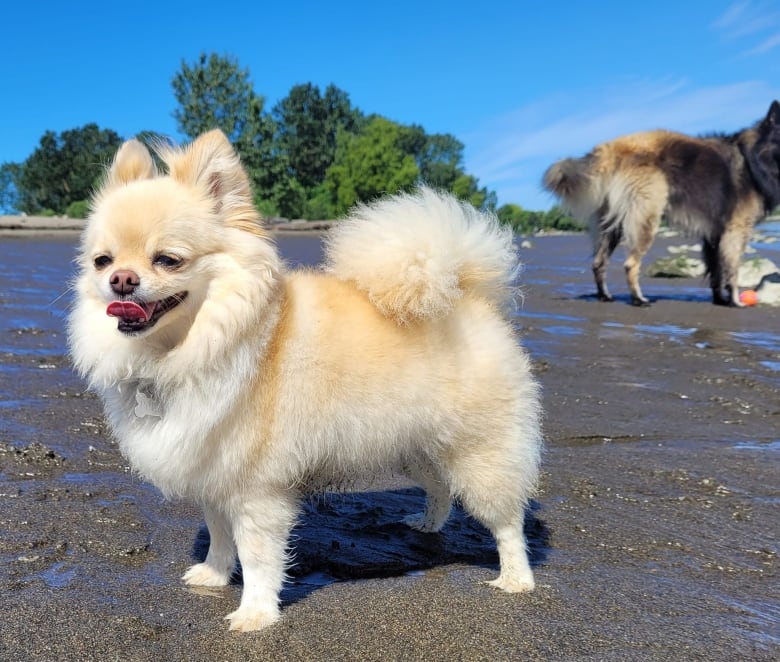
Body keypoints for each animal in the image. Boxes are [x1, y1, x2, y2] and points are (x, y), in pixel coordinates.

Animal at [68, 130, 544, 632]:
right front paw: (214, 576)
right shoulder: (214, 472)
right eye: (102, 261)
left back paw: (515, 579)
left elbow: (258, 556)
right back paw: (428, 525)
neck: (192, 347)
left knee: (506, 521)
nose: (121, 280)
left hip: (480, 453)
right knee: (440, 488)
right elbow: (219, 536)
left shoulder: (258, 488)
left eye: (168, 260)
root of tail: (467, 294)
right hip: (416, 447)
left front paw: (255, 613)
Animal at [544, 100, 780, 308]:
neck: (752, 160)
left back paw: (605, 296)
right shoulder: (735, 231)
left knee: (598, 263)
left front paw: (720, 300)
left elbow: (716, 271)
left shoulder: (714, 235)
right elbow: (732, 269)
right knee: (630, 264)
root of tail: (610, 149)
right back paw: (639, 299)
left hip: (613, 226)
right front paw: (735, 301)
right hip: (645, 220)